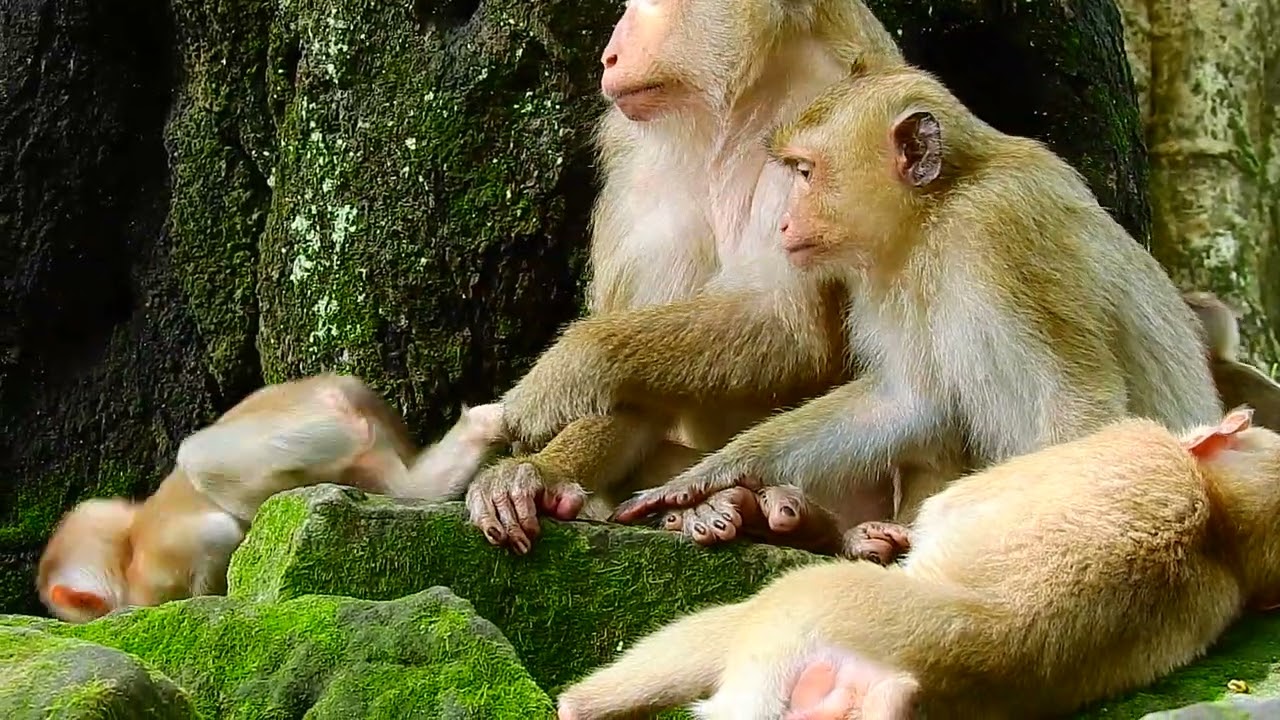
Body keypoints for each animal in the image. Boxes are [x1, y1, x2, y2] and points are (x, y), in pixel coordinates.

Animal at [37, 374, 505, 622]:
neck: (126, 544)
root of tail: (325, 390)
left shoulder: (153, 580)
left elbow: (213, 537)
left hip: (279, 436)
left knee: (199, 461)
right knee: (406, 487)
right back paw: (484, 424)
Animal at [467, 0, 912, 554]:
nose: (608, 56)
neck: (736, 111)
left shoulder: (830, 123)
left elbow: (787, 322)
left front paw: (570, 366)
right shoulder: (636, 158)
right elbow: (637, 380)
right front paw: (541, 470)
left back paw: (811, 521)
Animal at [556, 406, 1280, 720]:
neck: (1218, 516)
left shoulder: (1123, 438)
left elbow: (947, 508)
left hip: (803, 624)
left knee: (734, 626)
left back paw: (579, 706)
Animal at [607, 63, 1223, 547]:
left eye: (805, 173)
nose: (782, 222)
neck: (939, 211)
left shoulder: (1002, 231)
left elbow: (1076, 409)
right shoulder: (882, 278)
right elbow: (908, 401)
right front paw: (712, 476)